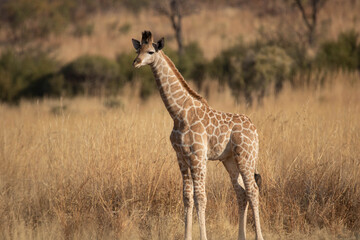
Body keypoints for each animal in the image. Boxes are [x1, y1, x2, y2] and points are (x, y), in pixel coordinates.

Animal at [132, 31, 264, 240]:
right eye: (138, 50)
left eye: (150, 51)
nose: (135, 62)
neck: (178, 112)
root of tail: (254, 129)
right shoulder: (181, 157)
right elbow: (187, 197)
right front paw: (187, 236)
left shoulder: (198, 157)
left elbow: (200, 197)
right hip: (230, 160)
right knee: (241, 193)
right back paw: (241, 237)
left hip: (246, 157)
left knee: (253, 190)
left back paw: (259, 236)